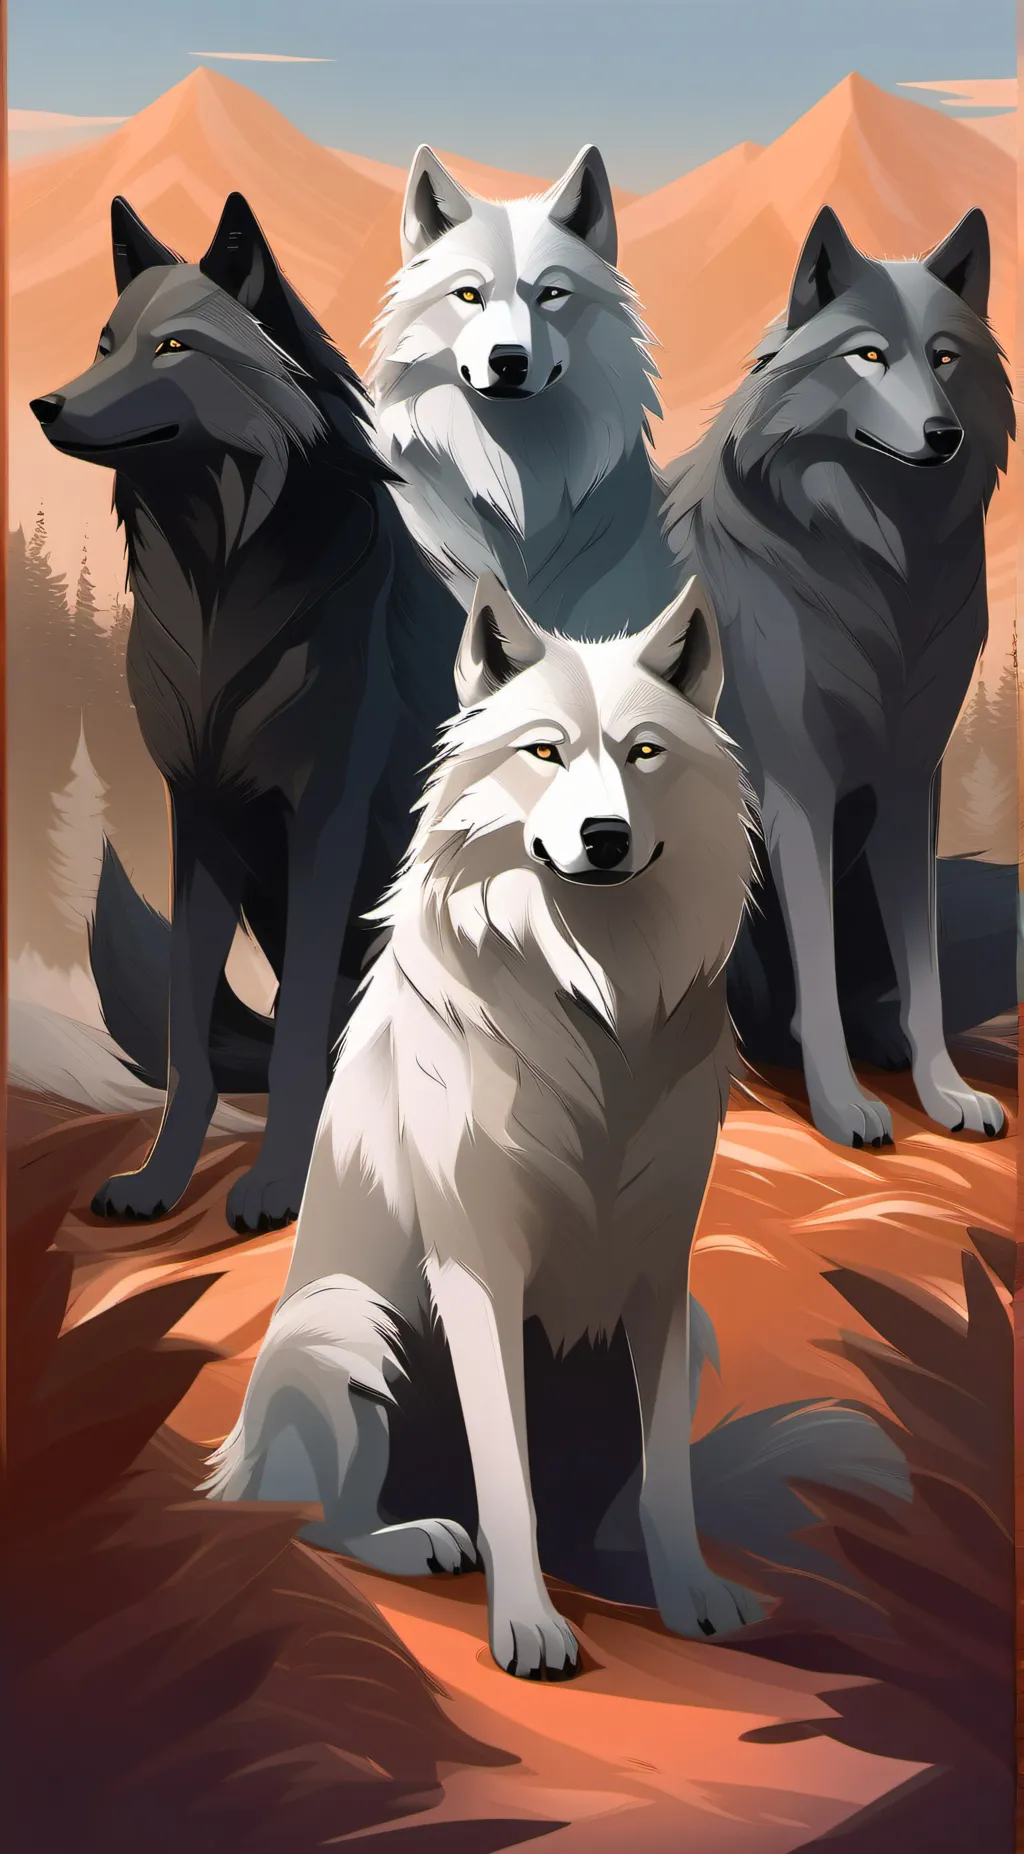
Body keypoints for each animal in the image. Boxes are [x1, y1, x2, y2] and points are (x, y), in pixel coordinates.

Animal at [30, 193, 464, 1232]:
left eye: (173, 346)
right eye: (106, 342)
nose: (44, 404)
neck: (219, 593)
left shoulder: (324, 822)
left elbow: (302, 1031)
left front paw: (279, 1187)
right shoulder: (199, 817)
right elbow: (189, 1039)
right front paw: (159, 1180)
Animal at [202, 570, 773, 1675]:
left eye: (644, 752)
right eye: (544, 751)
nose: (604, 837)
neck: (596, 1005)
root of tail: (235, 1464)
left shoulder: (663, 1272)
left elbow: (666, 1482)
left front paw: (688, 1594)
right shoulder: (478, 1265)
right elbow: (506, 1482)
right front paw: (530, 1627)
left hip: (689, 1335)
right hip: (351, 1331)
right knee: (321, 1522)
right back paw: (418, 1536)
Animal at [663, 206, 1015, 1148]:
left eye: (943, 356)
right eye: (867, 355)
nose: (943, 435)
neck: (878, 576)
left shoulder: (910, 784)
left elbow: (924, 976)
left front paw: (944, 1090)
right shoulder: (797, 788)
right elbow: (813, 978)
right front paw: (839, 1105)